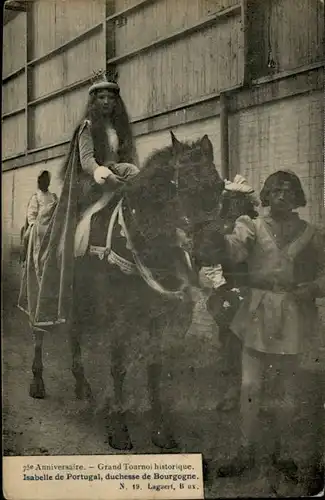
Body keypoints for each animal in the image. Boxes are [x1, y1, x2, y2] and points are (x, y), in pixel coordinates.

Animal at [29, 131, 224, 452]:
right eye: (184, 183)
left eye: (218, 186)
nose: (211, 247)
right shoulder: (118, 315)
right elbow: (118, 366)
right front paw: (119, 429)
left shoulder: (158, 316)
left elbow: (154, 366)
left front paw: (161, 430)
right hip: (45, 290)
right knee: (39, 332)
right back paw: (37, 383)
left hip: (77, 298)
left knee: (74, 333)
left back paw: (82, 386)